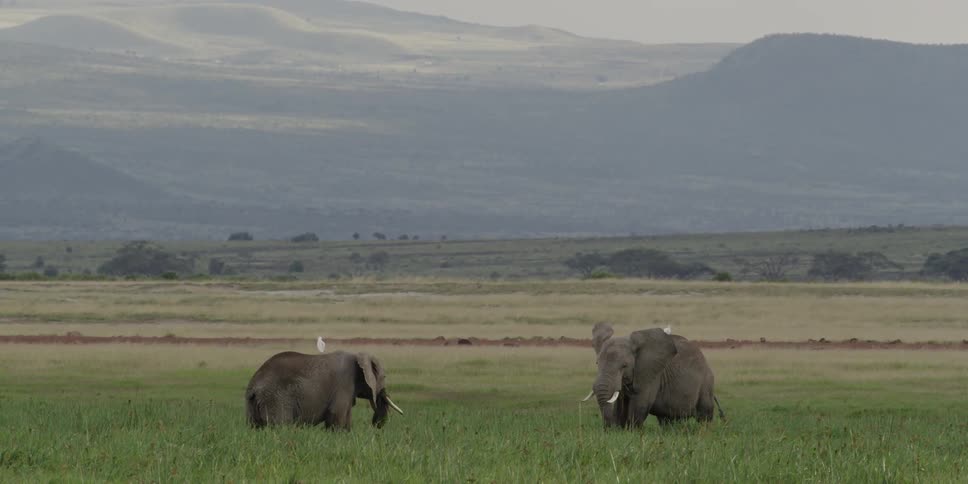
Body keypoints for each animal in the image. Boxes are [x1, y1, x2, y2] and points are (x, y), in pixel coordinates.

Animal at [245, 350, 403, 431]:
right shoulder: (344, 384)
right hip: (275, 399)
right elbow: (336, 417)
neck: (358, 355)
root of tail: (254, 385)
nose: (376, 425)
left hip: (254, 404)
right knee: (281, 427)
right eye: (384, 376)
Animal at [582, 323, 724, 429]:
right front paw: (618, 430)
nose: (608, 428)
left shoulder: (651, 372)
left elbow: (641, 403)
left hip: (706, 382)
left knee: (704, 414)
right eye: (597, 363)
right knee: (666, 419)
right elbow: (620, 403)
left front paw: (631, 432)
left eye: (624, 366)